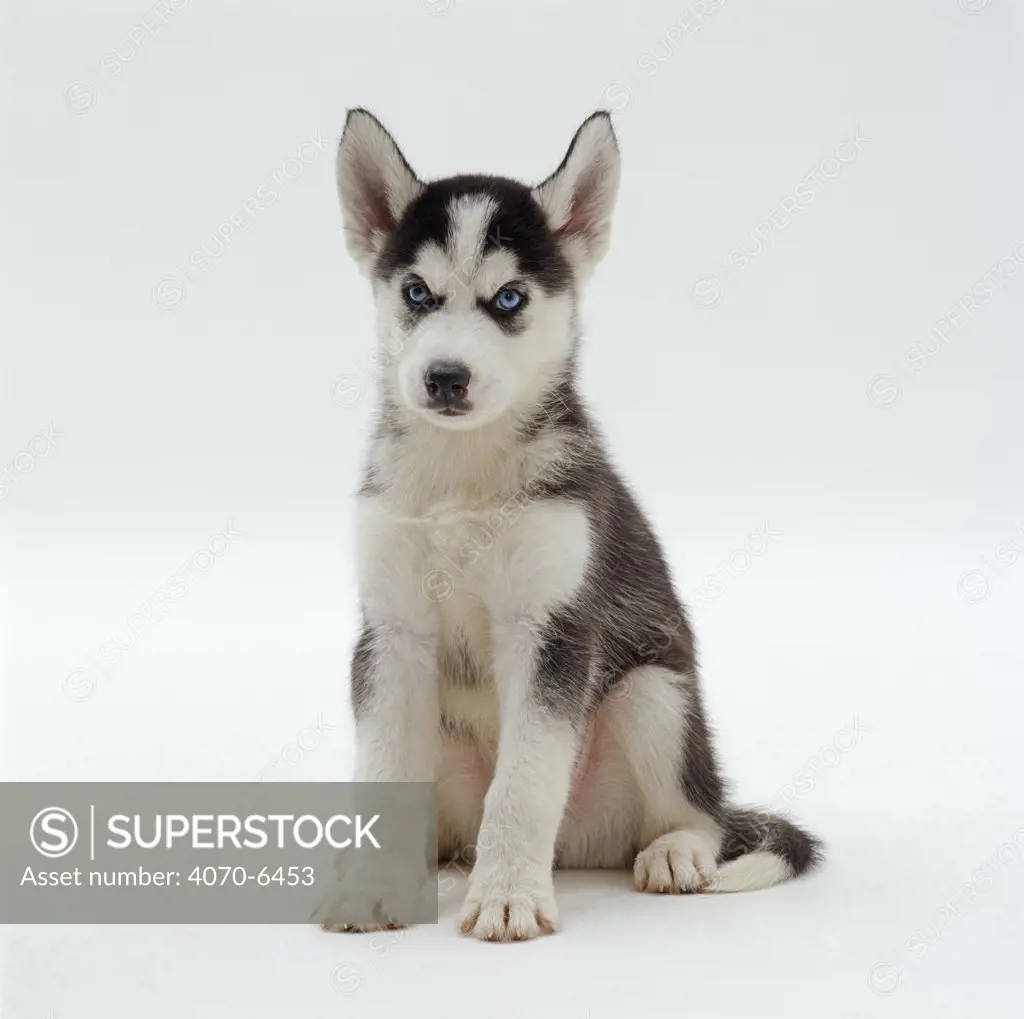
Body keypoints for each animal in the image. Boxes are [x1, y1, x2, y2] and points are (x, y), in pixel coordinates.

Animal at [331, 109, 819, 942]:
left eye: (508, 300)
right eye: (417, 292)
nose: (445, 378)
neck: (465, 473)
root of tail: (578, 848)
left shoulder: (553, 629)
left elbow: (523, 783)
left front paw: (506, 898)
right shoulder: (392, 635)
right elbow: (384, 772)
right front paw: (372, 890)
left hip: (653, 695)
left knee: (698, 812)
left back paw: (675, 851)